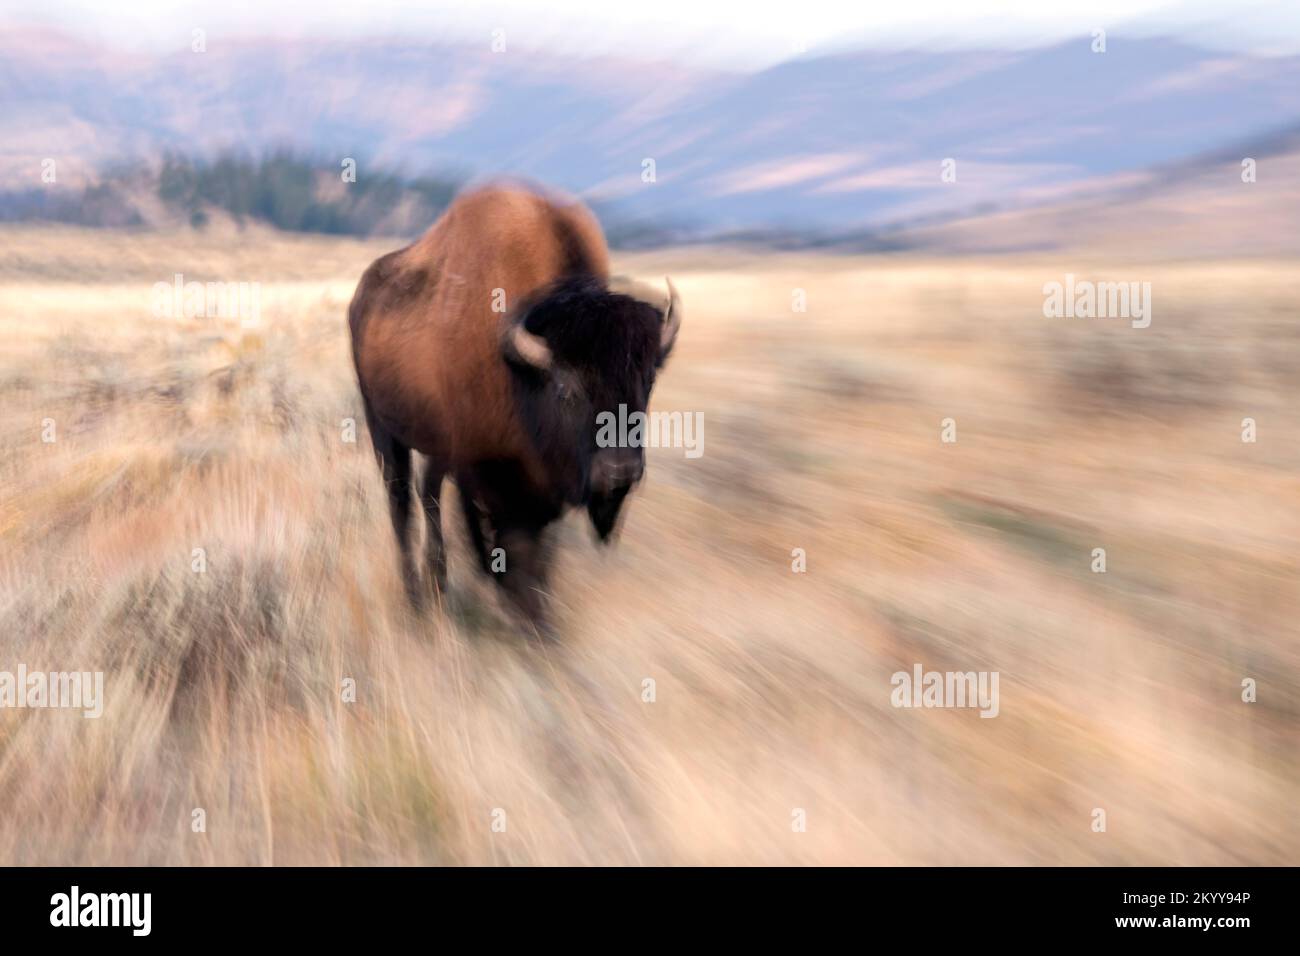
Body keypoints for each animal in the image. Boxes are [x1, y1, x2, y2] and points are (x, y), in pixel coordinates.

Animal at [351, 184, 686, 634]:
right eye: (565, 387)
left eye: (647, 380)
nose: (620, 472)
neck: (519, 371)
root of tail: (362, 296)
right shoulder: (489, 473)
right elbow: (512, 543)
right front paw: (530, 620)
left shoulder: (540, 480)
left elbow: (539, 550)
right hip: (383, 429)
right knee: (400, 503)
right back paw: (416, 598)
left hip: (434, 445)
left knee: (428, 493)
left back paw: (439, 580)